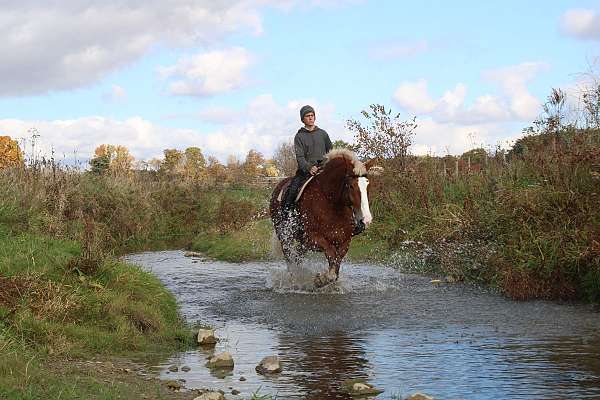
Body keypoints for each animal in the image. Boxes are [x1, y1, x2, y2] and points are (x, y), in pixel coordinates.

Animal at [270, 150, 376, 288]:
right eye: (351, 186)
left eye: (367, 185)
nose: (366, 220)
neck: (330, 202)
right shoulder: (314, 238)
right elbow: (331, 255)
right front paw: (321, 280)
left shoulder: (344, 242)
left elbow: (336, 264)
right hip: (284, 236)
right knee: (289, 257)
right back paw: (294, 279)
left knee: (298, 257)